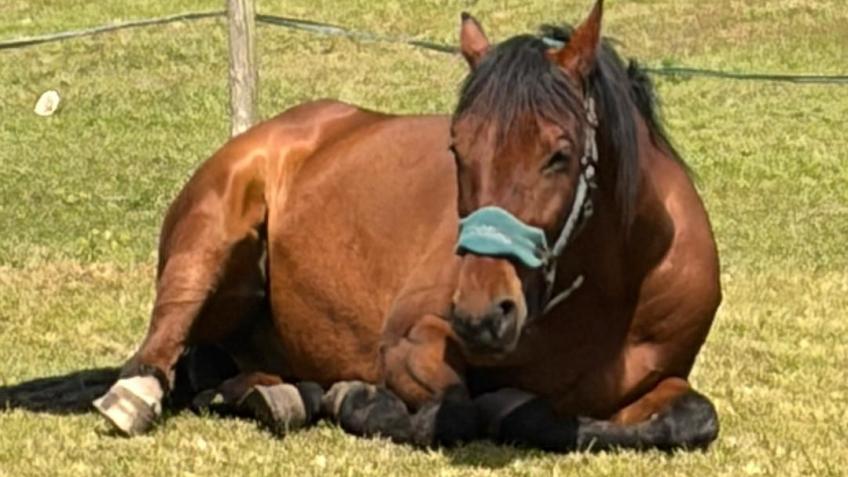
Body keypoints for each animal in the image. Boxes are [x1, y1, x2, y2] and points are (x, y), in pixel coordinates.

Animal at [94, 0, 721, 451]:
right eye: (457, 147)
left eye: (559, 155)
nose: (482, 313)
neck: (605, 293)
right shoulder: (408, 341)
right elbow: (458, 411)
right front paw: (357, 399)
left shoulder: (656, 382)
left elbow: (694, 418)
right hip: (210, 239)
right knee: (166, 337)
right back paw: (144, 391)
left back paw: (277, 395)